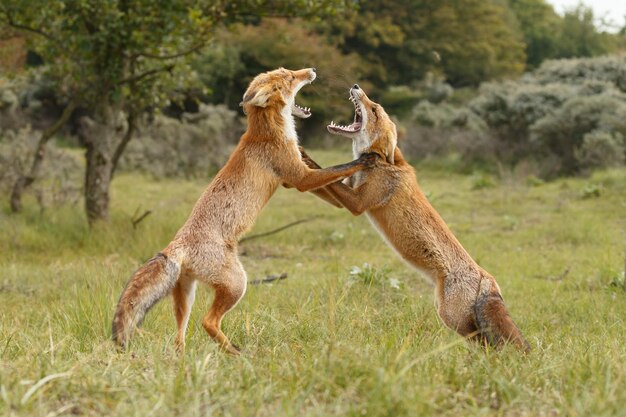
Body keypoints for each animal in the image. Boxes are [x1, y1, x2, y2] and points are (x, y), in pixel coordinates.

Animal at [111, 69, 376, 354]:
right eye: (291, 78)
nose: (311, 71)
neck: (268, 131)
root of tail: (176, 245)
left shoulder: (293, 179)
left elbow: (331, 182)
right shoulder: (301, 179)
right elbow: (338, 168)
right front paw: (364, 160)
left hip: (187, 294)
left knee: (179, 337)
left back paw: (185, 358)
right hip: (238, 283)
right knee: (208, 322)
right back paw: (236, 353)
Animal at [300, 84, 528, 352]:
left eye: (374, 109)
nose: (356, 87)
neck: (382, 163)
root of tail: (487, 278)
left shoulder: (358, 203)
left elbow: (325, 173)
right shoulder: (343, 196)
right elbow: (321, 178)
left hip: (455, 320)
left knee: (487, 345)